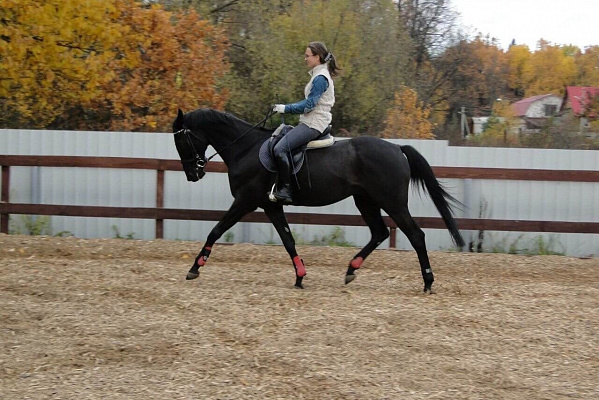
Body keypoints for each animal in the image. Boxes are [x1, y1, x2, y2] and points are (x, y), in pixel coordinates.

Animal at [173, 108, 464, 292]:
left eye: (182, 141)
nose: (192, 174)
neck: (246, 149)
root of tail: (396, 148)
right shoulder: (271, 205)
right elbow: (288, 240)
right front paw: (300, 277)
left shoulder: (246, 201)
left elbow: (215, 230)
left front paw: (195, 268)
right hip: (366, 201)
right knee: (380, 233)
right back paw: (351, 270)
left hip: (392, 202)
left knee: (415, 235)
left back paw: (428, 282)